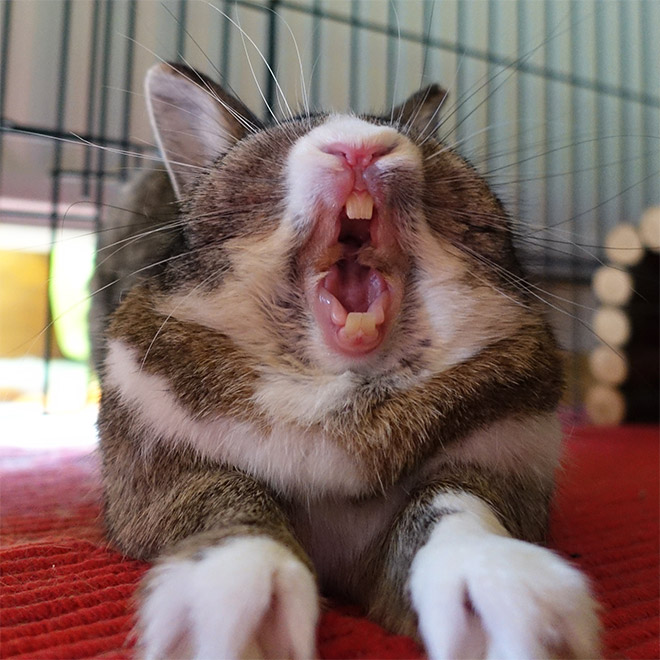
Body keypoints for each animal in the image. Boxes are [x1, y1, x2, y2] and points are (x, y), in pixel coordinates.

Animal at [94, 63, 604, 660]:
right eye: (273, 149)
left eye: (432, 153)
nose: (361, 146)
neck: (345, 391)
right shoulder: (161, 478)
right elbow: (223, 497)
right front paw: (235, 605)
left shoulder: (500, 469)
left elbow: (454, 503)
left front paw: (506, 593)